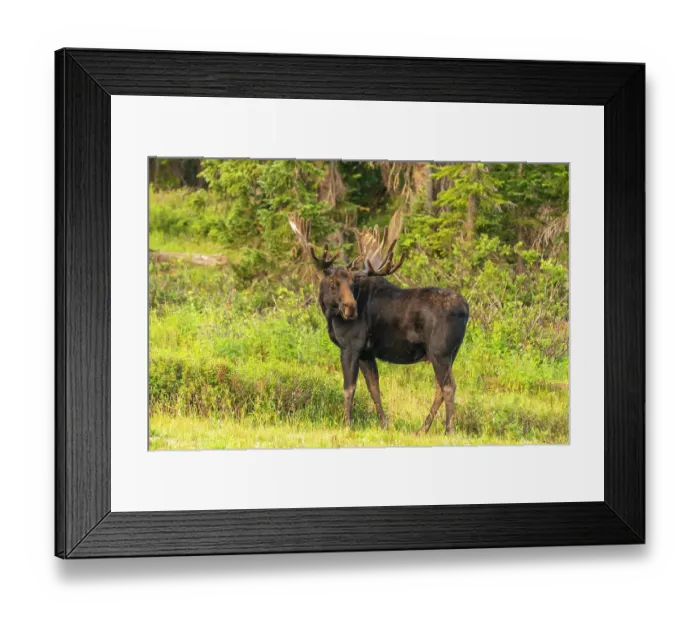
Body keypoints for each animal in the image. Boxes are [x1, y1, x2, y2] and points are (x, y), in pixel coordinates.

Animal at [288, 210, 469, 435]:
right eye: (333, 283)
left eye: (351, 283)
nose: (351, 308)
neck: (329, 314)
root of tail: (466, 309)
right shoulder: (367, 352)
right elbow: (374, 388)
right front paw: (384, 424)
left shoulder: (351, 346)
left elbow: (349, 388)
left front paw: (347, 424)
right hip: (449, 353)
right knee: (440, 387)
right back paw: (422, 429)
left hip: (439, 351)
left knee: (448, 386)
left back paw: (448, 429)